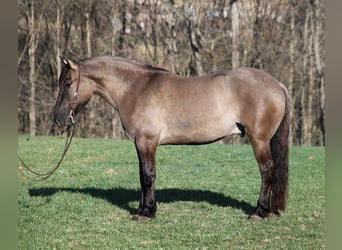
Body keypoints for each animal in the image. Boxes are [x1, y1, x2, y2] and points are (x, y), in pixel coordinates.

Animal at [53, 56, 288, 221]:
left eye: (68, 83)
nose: (59, 118)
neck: (135, 88)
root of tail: (277, 84)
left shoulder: (146, 141)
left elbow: (148, 176)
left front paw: (146, 213)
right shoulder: (141, 143)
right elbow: (143, 176)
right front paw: (144, 208)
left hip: (259, 140)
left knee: (267, 169)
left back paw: (259, 211)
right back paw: (270, 211)